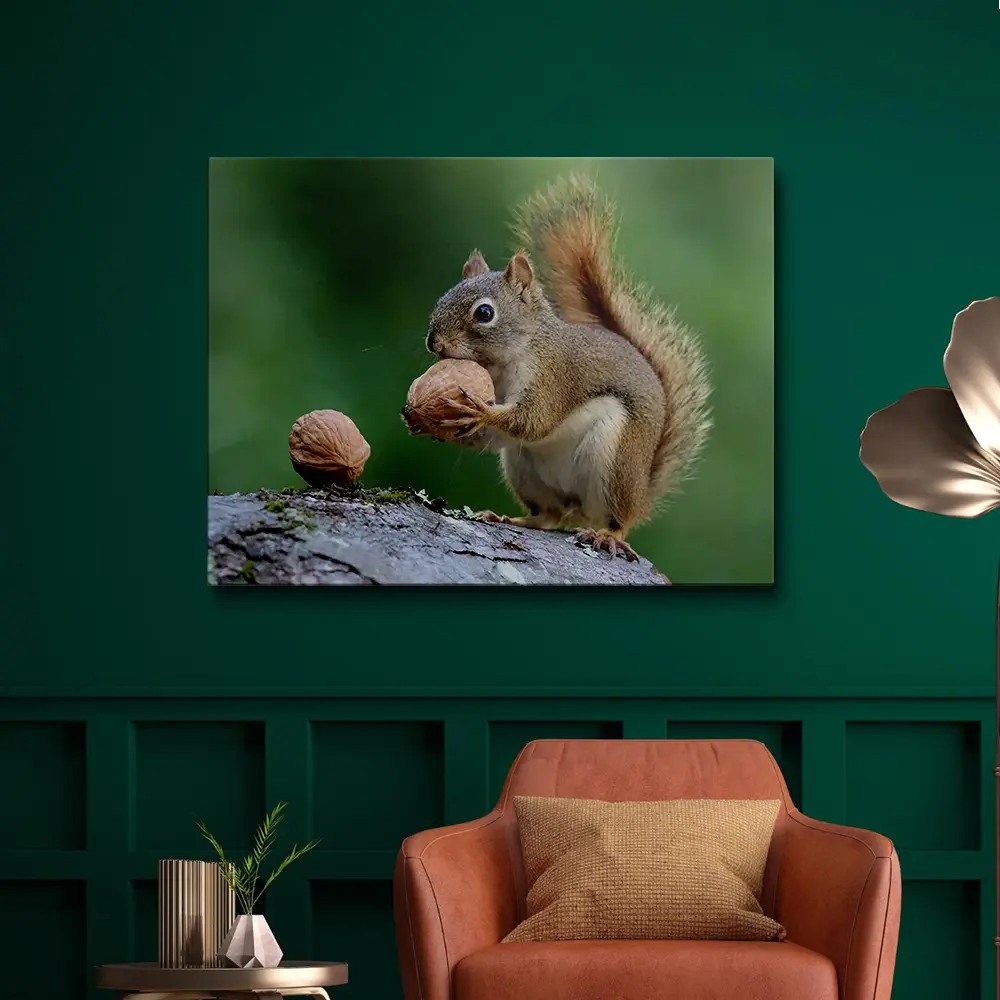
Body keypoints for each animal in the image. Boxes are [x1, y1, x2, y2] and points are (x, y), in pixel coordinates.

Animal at [424, 175, 712, 561]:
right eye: (441, 299)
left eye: (484, 313)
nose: (434, 343)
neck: (505, 361)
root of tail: (642, 493)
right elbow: (497, 436)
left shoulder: (554, 376)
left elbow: (535, 420)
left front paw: (481, 412)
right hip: (523, 468)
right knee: (549, 516)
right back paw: (510, 518)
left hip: (614, 463)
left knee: (617, 519)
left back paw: (608, 536)